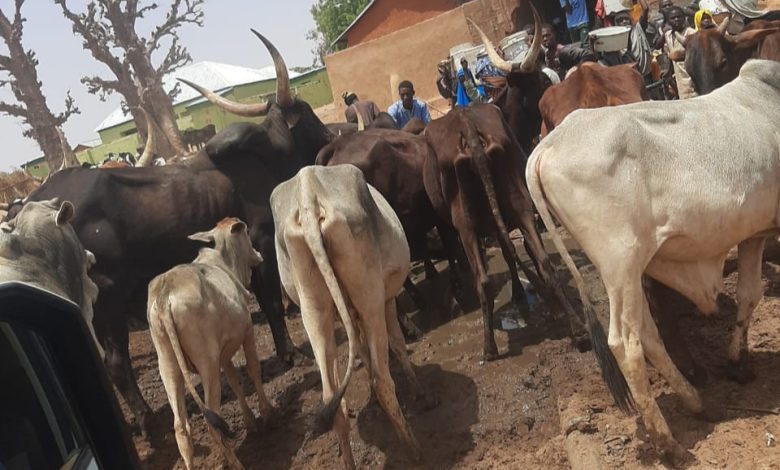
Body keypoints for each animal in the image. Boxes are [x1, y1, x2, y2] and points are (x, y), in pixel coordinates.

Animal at [148, 218, 272, 470]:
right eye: (246, 233)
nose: (258, 254)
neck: (224, 263)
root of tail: (166, 293)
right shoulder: (247, 331)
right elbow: (253, 370)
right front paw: (265, 416)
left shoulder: (224, 354)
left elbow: (235, 381)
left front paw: (251, 422)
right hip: (207, 365)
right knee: (213, 422)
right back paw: (236, 464)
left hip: (169, 366)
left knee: (182, 429)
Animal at [524, 57, 780, 458]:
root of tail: (547, 144)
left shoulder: (753, 235)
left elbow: (749, 295)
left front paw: (739, 364)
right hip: (621, 262)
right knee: (625, 344)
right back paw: (668, 443)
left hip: (626, 271)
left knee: (647, 333)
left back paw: (696, 401)